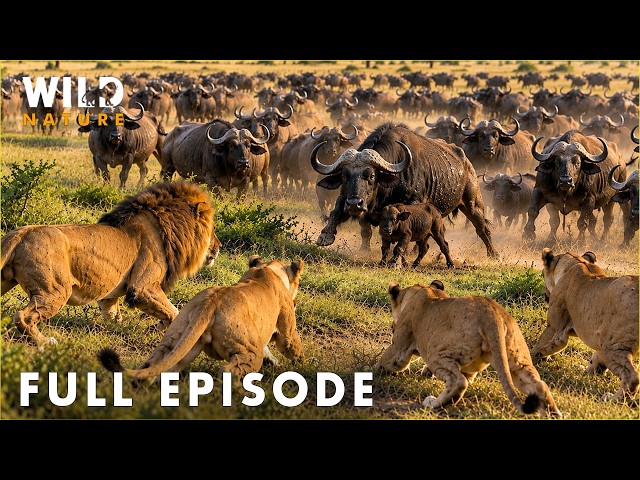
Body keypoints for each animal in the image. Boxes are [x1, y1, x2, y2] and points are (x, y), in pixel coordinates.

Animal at [1, 180, 221, 348]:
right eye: (213, 229)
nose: (218, 247)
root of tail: (21, 233)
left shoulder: (110, 296)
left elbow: (116, 317)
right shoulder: (142, 287)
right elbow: (174, 311)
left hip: (6, 280)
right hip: (56, 290)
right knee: (22, 316)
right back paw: (46, 342)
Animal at [97, 255, 304, 382]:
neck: (267, 269)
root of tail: (209, 304)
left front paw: (274, 361)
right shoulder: (285, 328)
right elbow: (291, 344)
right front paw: (301, 363)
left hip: (177, 338)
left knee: (155, 364)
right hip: (248, 350)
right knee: (228, 371)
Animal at [374, 280, 562, 417]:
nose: (392, 326)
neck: (424, 290)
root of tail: (492, 316)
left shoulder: (400, 346)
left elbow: (387, 360)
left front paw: (373, 370)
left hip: (437, 353)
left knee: (458, 382)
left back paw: (433, 403)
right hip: (515, 359)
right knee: (539, 385)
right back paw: (553, 415)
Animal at [531, 248, 639, 403]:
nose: (545, 296)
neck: (577, 262)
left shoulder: (556, 329)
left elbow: (541, 344)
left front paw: (531, 358)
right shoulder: (601, 341)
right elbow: (595, 359)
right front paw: (586, 371)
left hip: (615, 346)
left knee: (632, 376)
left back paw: (611, 399)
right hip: (610, 345)